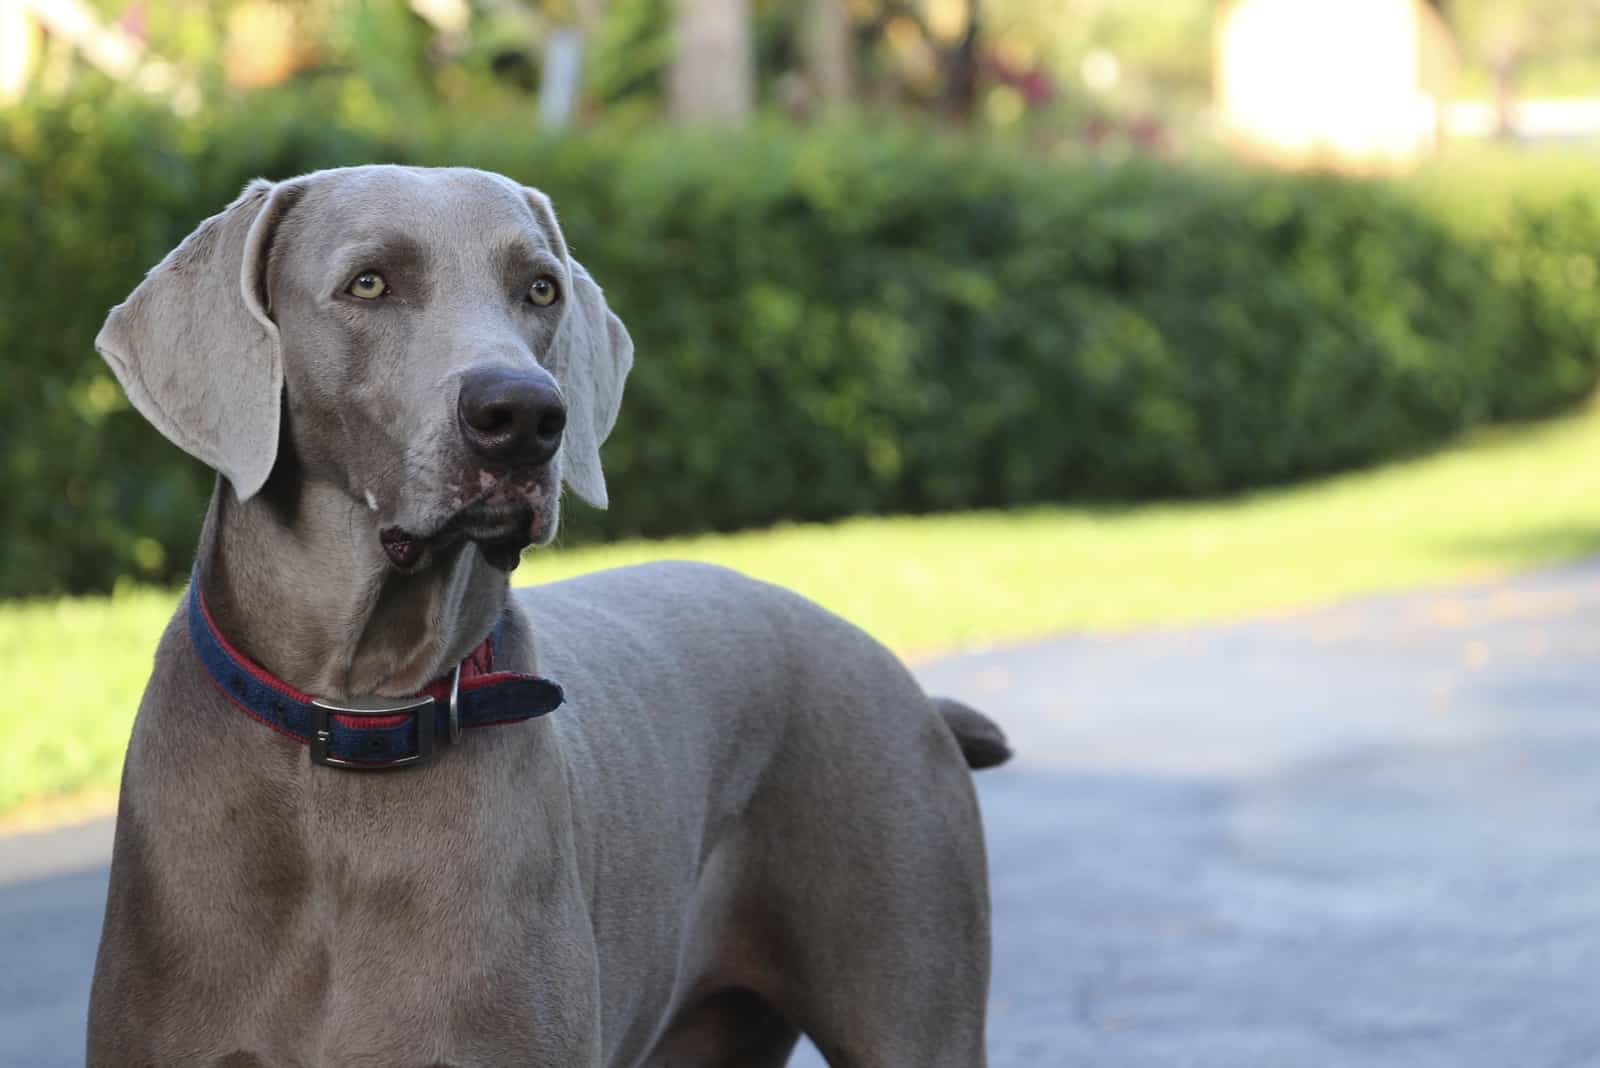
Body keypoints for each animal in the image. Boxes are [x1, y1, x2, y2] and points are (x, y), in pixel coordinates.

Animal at [87, 164, 1004, 1068]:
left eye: (539, 288)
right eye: (369, 283)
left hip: (909, 985)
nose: (523, 415)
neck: (356, 715)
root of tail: (908, 683)